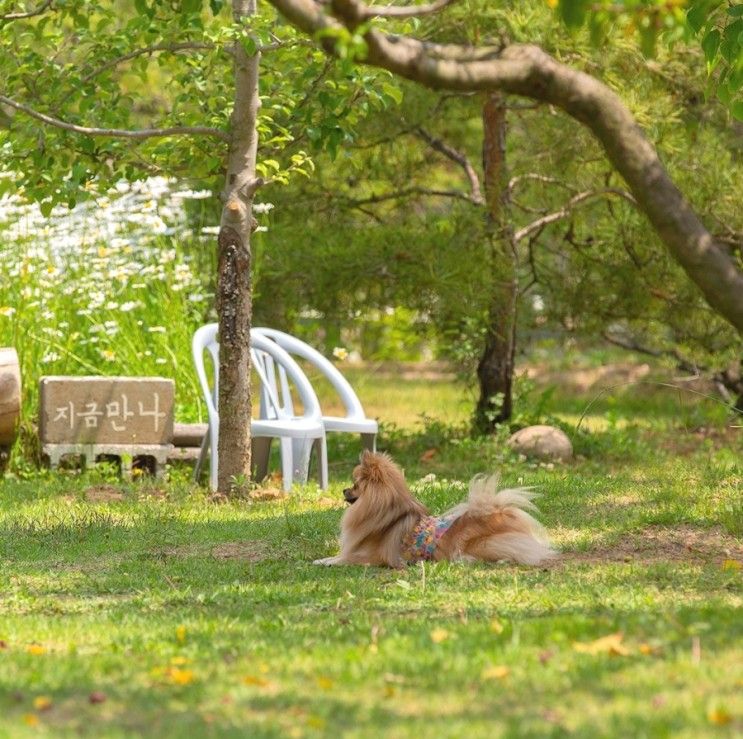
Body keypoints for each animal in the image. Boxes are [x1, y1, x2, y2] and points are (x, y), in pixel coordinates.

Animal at [310, 450, 556, 568]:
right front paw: (324, 559)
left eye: (355, 485)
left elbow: (344, 558)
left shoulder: (373, 556)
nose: (343, 490)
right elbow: (338, 555)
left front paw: (324, 562)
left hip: (482, 545)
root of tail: (500, 517)